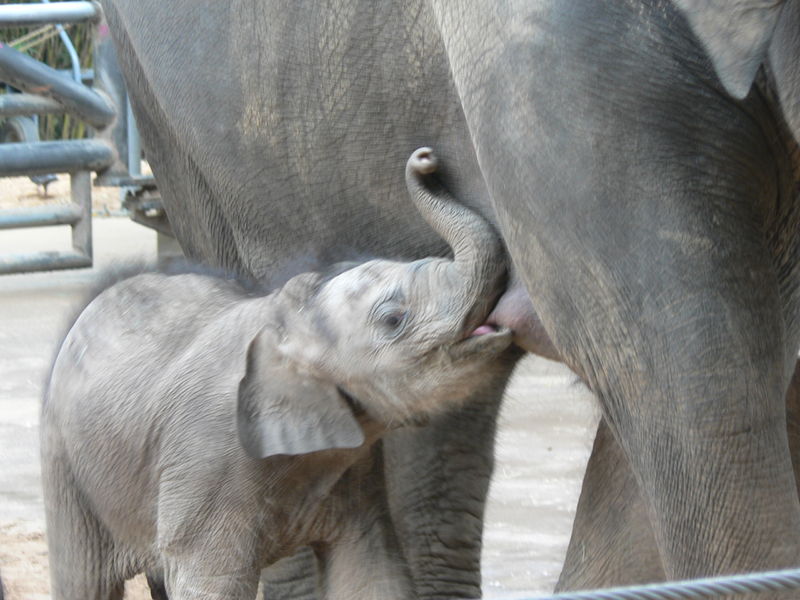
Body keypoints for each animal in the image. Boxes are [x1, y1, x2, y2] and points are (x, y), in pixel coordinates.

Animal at [43, 148, 516, 596]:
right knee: (83, 579)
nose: (426, 158)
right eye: (393, 319)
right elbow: (209, 584)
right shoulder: (205, 462)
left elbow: (370, 574)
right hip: (66, 463)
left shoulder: (354, 467)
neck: (291, 321)